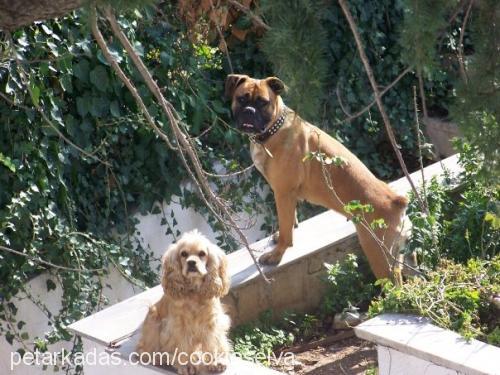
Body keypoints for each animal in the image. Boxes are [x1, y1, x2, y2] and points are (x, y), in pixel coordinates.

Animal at [227, 74, 410, 280]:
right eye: (241, 99)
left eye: (262, 102)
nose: (249, 111)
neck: (274, 128)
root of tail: (397, 202)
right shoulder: (287, 196)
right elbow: (289, 221)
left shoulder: (283, 193)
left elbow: (286, 232)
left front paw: (277, 255)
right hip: (398, 256)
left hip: (379, 256)